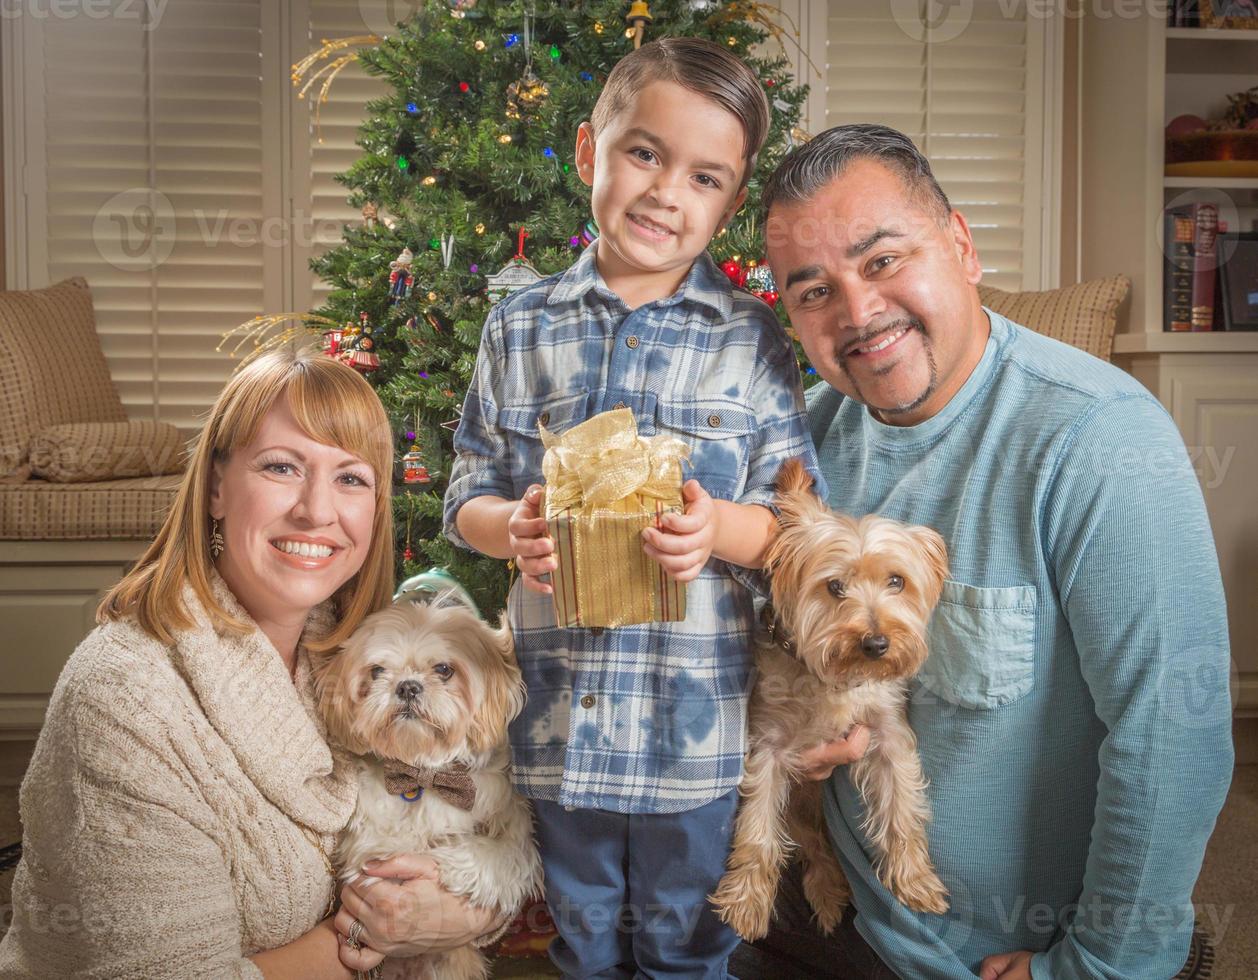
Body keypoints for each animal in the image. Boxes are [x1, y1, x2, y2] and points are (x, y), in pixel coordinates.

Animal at [314, 598, 540, 980]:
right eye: (377, 671)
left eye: (444, 669)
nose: (407, 686)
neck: (422, 773)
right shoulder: (367, 836)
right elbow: (382, 844)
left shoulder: (514, 830)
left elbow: (499, 855)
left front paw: (448, 863)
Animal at [714, 460, 946, 941]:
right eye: (834, 586)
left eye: (897, 581)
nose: (876, 643)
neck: (833, 680)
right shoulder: (769, 748)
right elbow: (757, 830)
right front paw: (746, 902)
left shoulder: (888, 734)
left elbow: (902, 808)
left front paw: (915, 877)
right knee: (810, 841)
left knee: (819, 844)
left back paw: (828, 889)